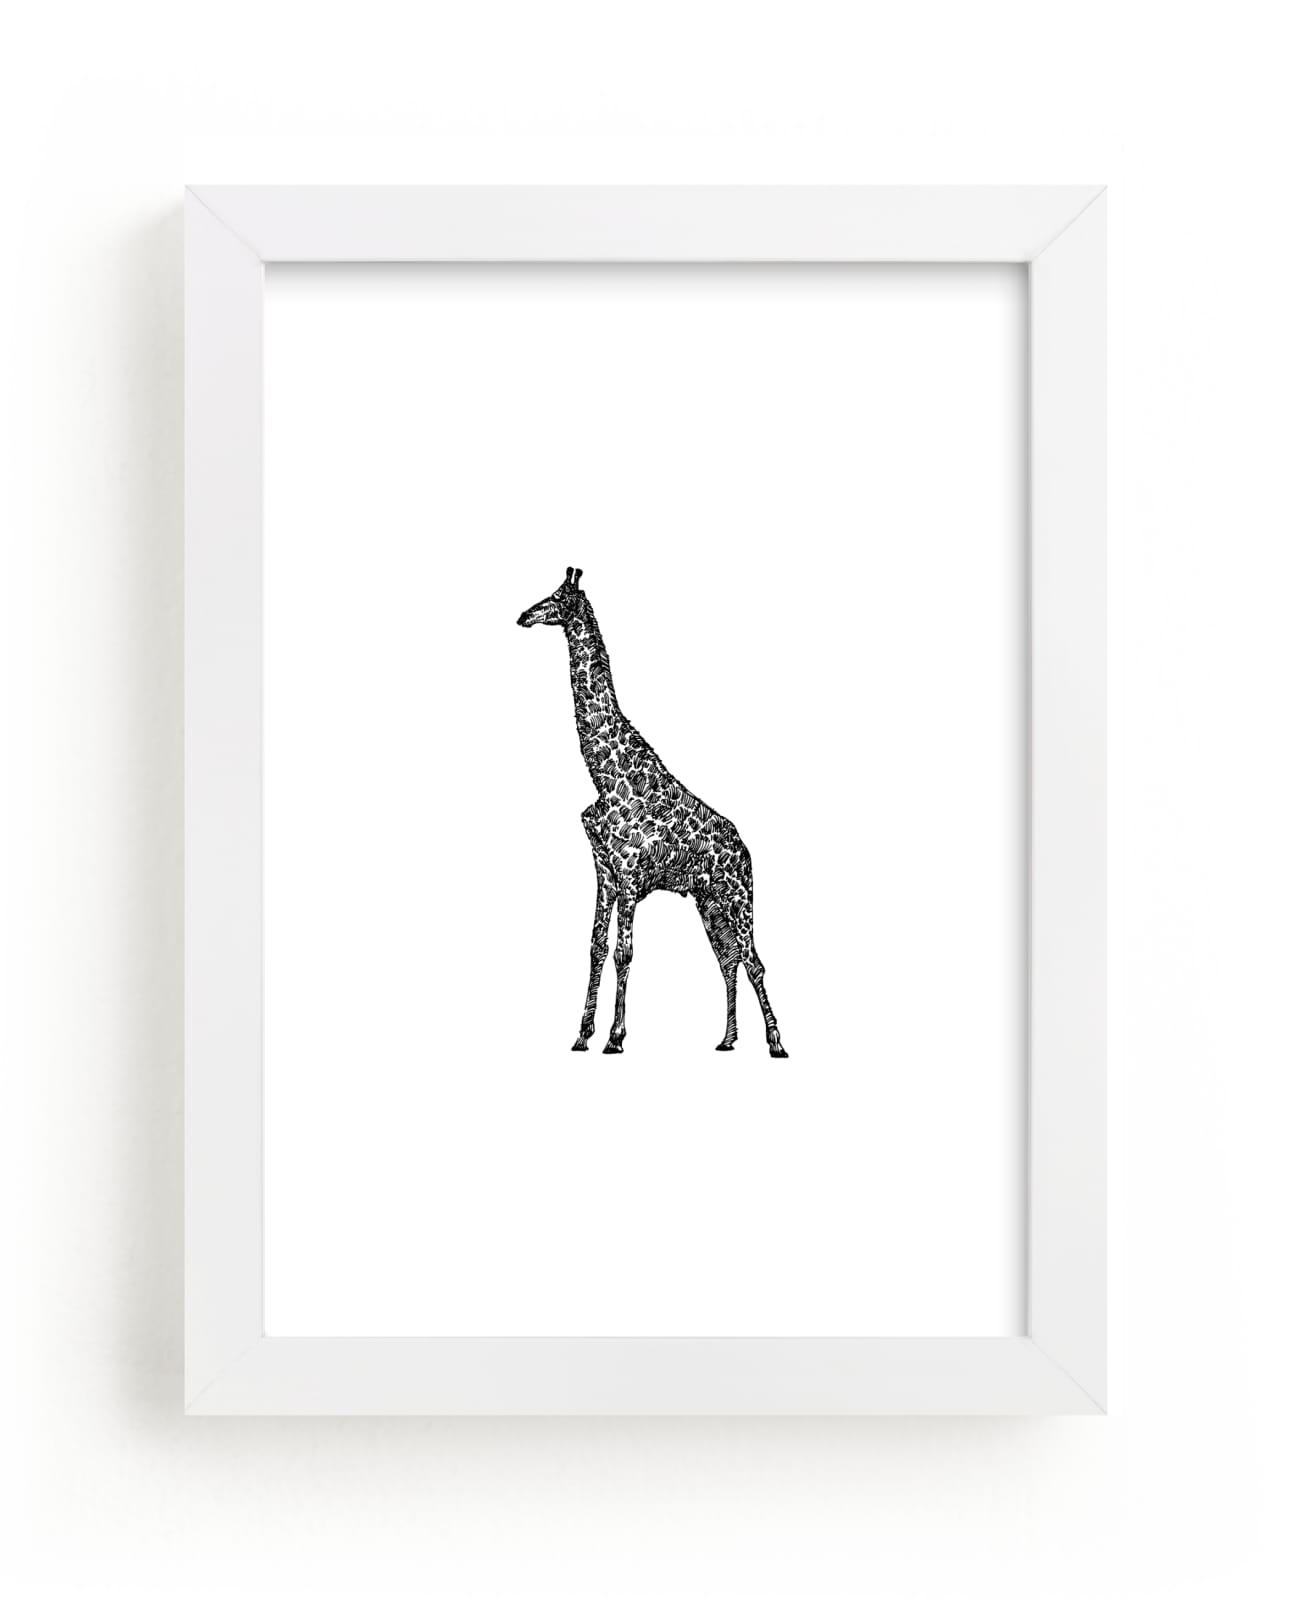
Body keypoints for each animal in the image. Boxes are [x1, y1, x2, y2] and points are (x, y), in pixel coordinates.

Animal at [517, 567, 789, 1058]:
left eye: (557, 599)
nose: (523, 615)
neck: (603, 773)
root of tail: (745, 849)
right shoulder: (604, 872)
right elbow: (595, 947)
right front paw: (581, 1035)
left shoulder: (627, 875)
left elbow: (623, 952)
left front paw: (615, 1038)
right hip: (709, 903)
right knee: (728, 961)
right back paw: (727, 1040)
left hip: (739, 896)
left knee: (754, 961)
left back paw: (777, 1043)